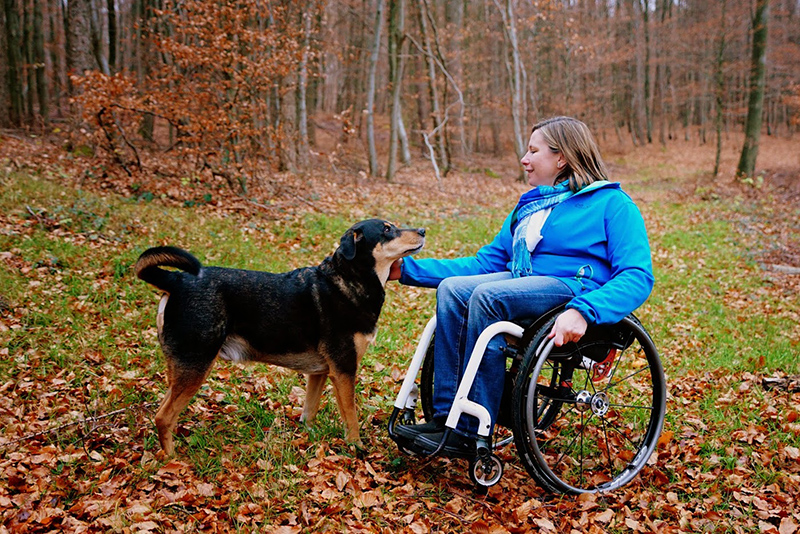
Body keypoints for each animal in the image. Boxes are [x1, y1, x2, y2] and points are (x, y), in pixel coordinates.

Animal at [136, 220, 424, 454]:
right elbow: (351, 416)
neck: (349, 280)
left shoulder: (320, 372)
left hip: (181, 367)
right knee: (163, 417)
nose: (422, 231)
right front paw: (356, 447)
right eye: (387, 229)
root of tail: (175, 280)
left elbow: (309, 412)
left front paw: (309, 437)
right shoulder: (343, 370)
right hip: (196, 365)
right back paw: (173, 461)